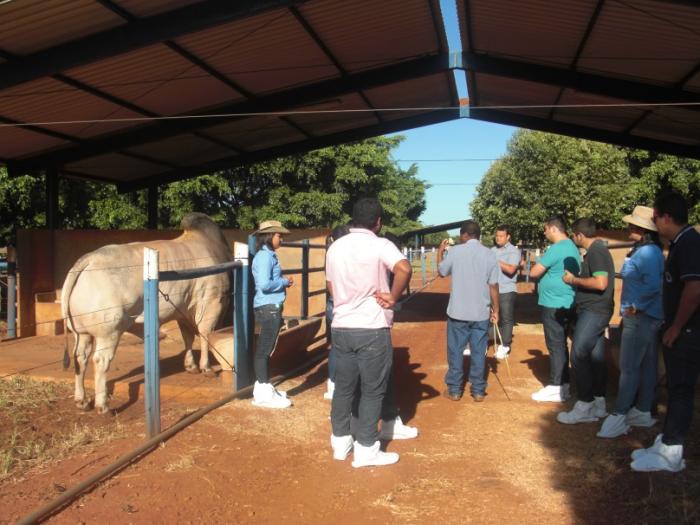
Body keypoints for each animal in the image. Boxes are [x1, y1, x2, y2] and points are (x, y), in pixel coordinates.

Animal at [61, 213, 231, 414]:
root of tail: (88, 260)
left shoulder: (183, 309)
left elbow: (188, 337)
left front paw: (191, 366)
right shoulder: (211, 303)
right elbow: (205, 334)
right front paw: (207, 368)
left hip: (82, 333)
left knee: (80, 358)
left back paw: (82, 400)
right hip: (109, 332)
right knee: (101, 361)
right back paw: (103, 406)